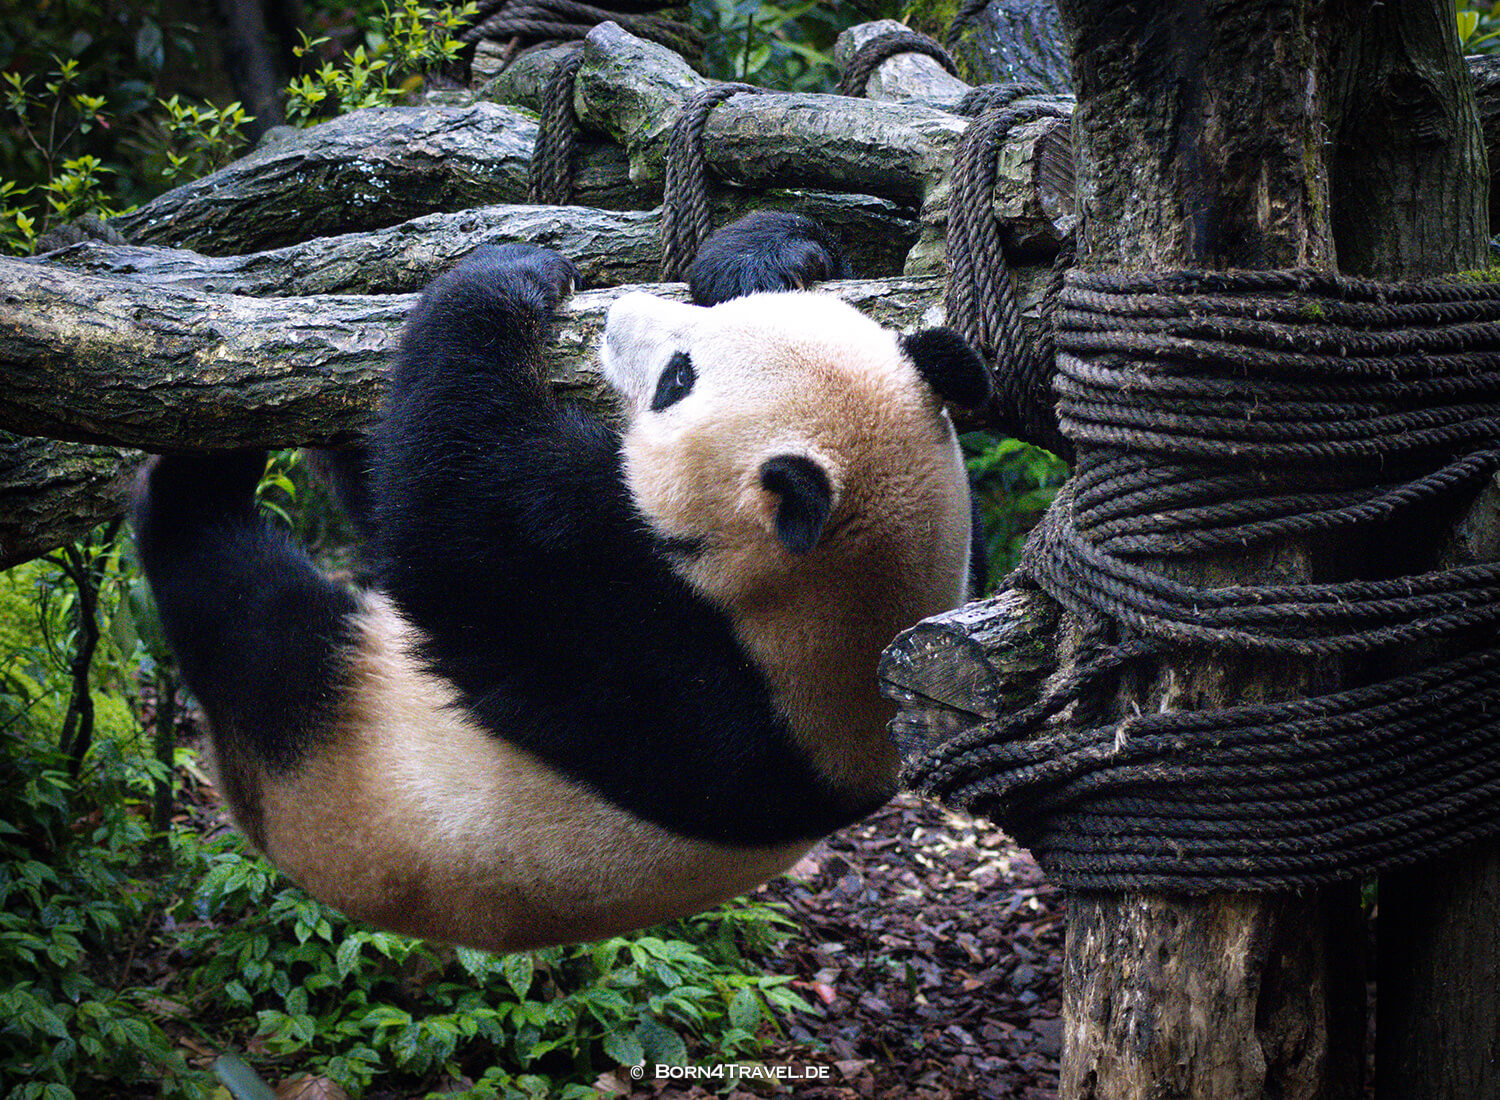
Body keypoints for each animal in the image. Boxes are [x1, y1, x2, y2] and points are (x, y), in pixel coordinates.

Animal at [132, 213, 990, 953]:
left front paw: (506, 275)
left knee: (232, 596)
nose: (621, 316)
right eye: (701, 335)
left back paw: (198, 484)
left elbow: (456, 519)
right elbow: (383, 487)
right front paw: (761, 255)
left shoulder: (662, 672)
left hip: (331, 735)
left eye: (678, 378)